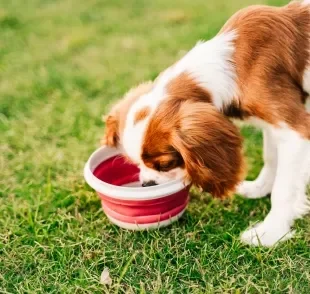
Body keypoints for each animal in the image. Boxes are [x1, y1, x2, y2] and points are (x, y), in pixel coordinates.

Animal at [102, 1, 310, 247]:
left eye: (166, 164)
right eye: (134, 164)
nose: (147, 185)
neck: (235, 66)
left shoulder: (295, 128)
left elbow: (284, 188)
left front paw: (271, 231)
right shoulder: (272, 123)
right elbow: (271, 157)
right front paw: (260, 188)